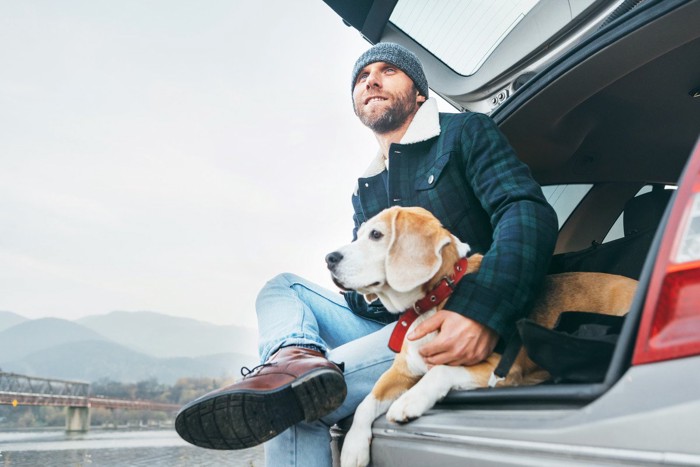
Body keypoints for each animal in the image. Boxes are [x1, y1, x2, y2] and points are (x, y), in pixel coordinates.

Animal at [326, 207, 636, 467]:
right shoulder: (401, 372)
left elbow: (440, 370)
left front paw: (409, 400)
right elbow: (367, 401)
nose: (329, 258)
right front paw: (353, 448)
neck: (434, 299)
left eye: (376, 235)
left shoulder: (503, 368)